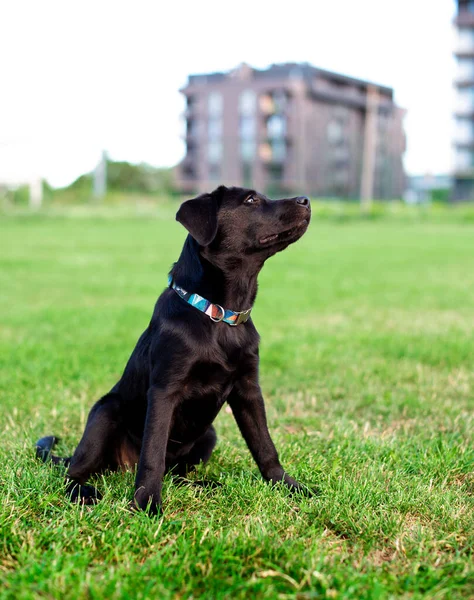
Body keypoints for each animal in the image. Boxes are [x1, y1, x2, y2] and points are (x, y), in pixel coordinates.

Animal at [36, 185, 312, 512]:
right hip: (105, 413)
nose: (306, 200)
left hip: (208, 436)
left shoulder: (248, 388)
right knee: (73, 473)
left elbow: (264, 445)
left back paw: (205, 484)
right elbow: (153, 454)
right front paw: (147, 503)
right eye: (250, 200)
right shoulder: (164, 389)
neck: (218, 314)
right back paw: (84, 492)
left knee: (177, 474)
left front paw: (289, 487)